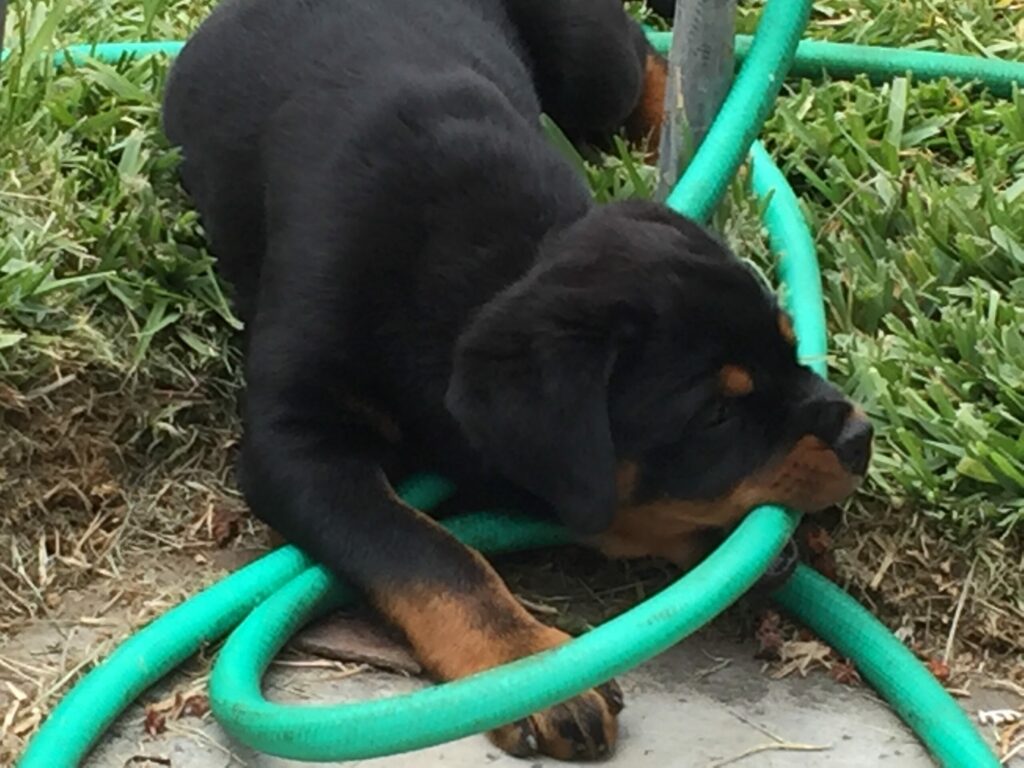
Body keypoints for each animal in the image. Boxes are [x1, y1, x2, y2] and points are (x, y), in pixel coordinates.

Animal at [165, 0, 872, 761]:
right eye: (716, 415)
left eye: (793, 347)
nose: (860, 437)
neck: (489, 268)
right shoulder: (294, 441)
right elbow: (426, 551)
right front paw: (531, 669)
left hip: (589, 59)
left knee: (644, 63)